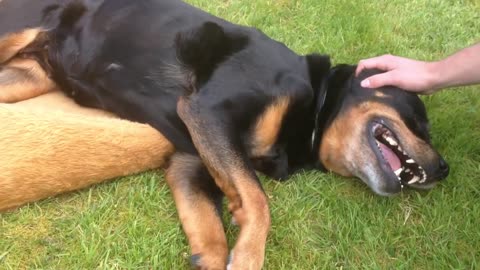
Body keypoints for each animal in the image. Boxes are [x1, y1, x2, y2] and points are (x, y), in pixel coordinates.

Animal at [0, 0, 450, 268]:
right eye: (420, 118)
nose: (444, 169)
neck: (316, 103)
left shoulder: (189, 161)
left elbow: (212, 236)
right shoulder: (209, 111)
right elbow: (258, 200)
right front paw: (250, 256)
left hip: (25, 77)